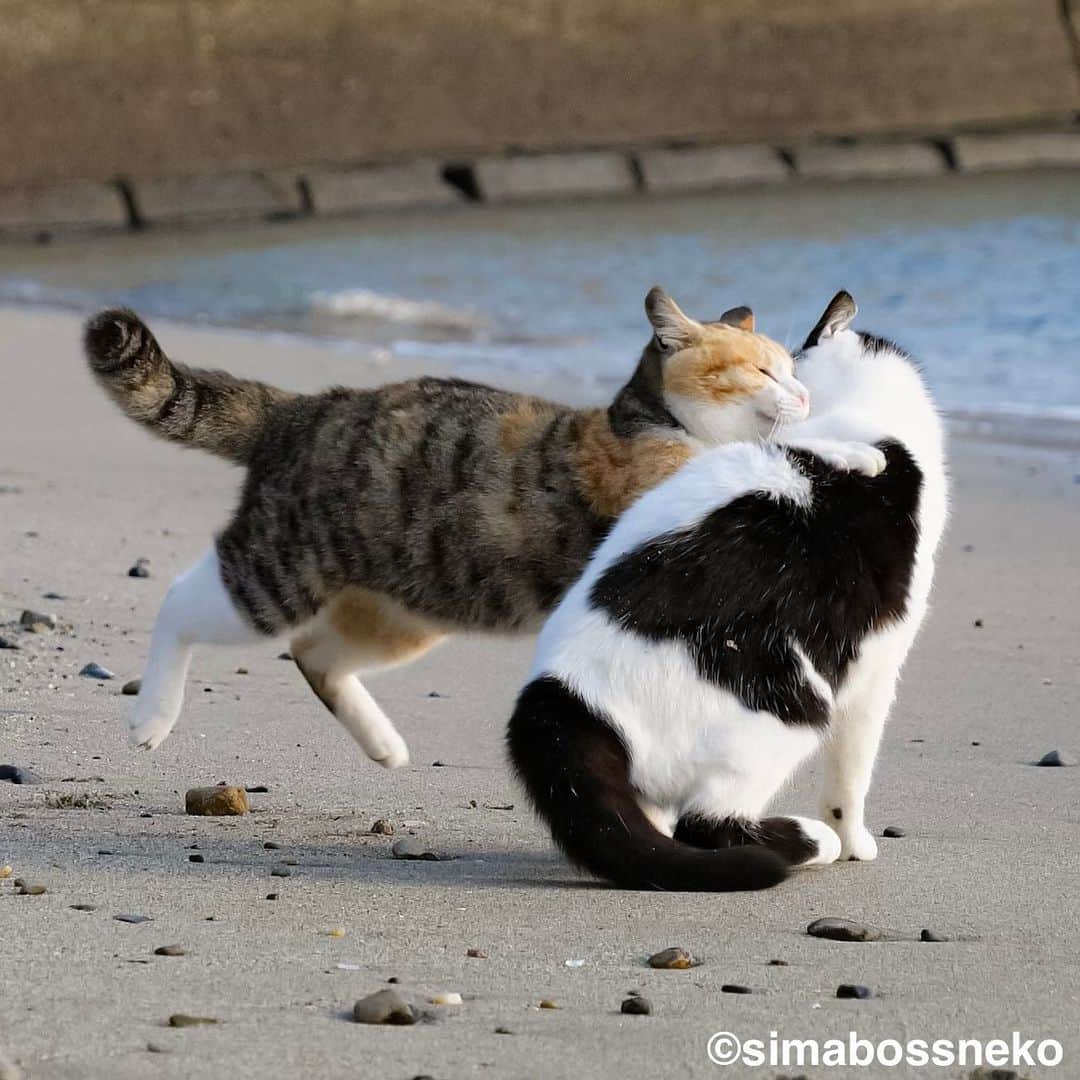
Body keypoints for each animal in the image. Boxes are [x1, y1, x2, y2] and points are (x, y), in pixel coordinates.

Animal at [84, 289, 812, 768]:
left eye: (793, 367)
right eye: (763, 369)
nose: (806, 395)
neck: (667, 427)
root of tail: (306, 410)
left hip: (409, 609)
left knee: (315, 653)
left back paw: (385, 746)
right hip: (277, 572)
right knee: (182, 602)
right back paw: (150, 717)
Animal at [505, 291, 946, 889]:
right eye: (774, 369)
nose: (801, 397)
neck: (873, 410)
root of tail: (559, 697)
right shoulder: (875, 669)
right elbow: (851, 774)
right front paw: (855, 841)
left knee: (653, 829)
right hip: (793, 700)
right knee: (709, 824)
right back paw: (814, 842)